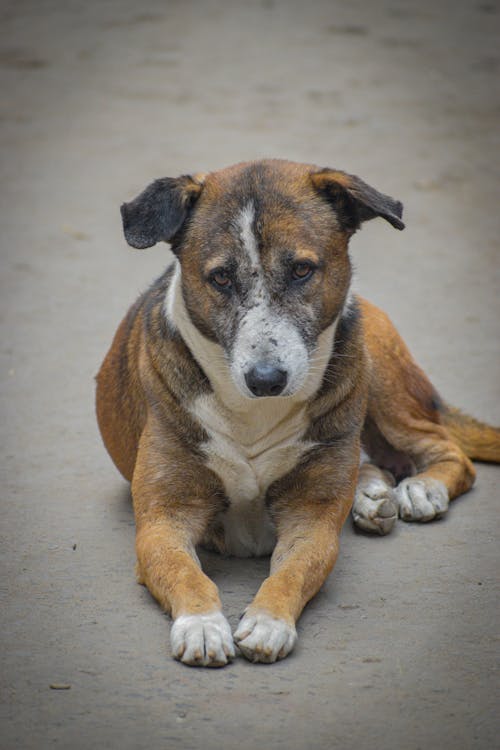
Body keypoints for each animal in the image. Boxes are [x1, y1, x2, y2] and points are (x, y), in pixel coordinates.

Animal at [94, 160, 500, 668]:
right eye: (220, 278)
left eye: (303, 270)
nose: (266, 379)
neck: (254, 412)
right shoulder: (162, 521)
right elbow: (186, 572)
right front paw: (202, 625)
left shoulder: (312, 522)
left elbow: (293, 571)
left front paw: (269, 622)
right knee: (376, 461)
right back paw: (372, 493)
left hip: (380, 376)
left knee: (445, 450)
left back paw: (422, 490)